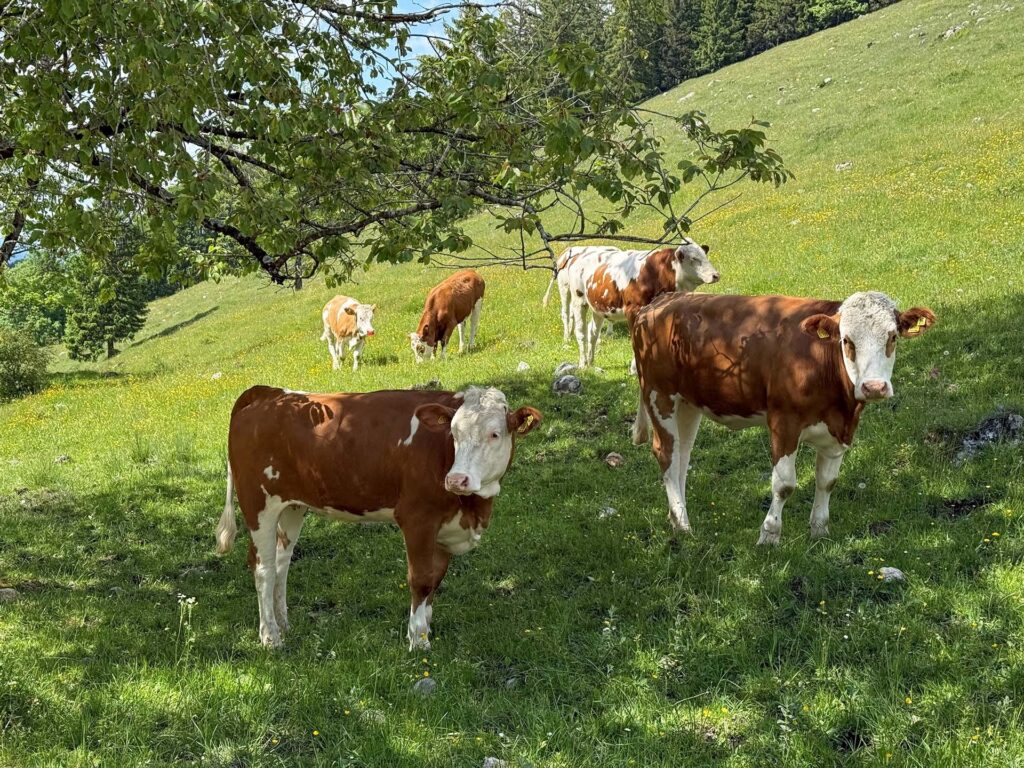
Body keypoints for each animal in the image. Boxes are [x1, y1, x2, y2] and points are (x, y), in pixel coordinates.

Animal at [215, 385, 541, 650]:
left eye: (495, 434)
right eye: (454, 434)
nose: (456, 479)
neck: (472, 508)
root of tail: (267, 393)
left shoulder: (445, 528)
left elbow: (435, 579)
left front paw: (425, 630)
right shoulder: (417, 518)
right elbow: (421, 579)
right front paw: (417, 641)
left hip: (292, 507)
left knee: (281, 562)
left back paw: (283, 624)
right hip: (259, 506)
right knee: (263, 568)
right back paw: (270, 637)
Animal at [544, 240, 719, 368]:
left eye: (705, 255)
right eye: (694, 259)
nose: (715, 275)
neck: (654, 272)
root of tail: (576, 253)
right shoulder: (633, 309)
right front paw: (635, 368)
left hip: (598, 307)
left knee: (593, 333)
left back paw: (591, 362)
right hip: (577, 299)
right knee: (580, 331)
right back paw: (582, 363)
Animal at [630, 291, 935, 545]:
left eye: (892, 337)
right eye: (846, 340)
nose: (874, 387)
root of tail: (658, 303)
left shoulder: (838, 432)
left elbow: (827, 481)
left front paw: (819, 531)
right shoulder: (783, 421)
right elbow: (784, 484)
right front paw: (769, 535)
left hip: (688, 402)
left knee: (682, 455)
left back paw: (677, 516)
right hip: (659, 395)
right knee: (666, 452)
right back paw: (683, 524)